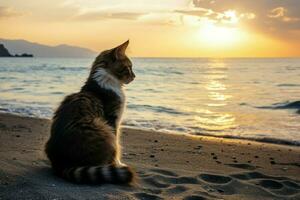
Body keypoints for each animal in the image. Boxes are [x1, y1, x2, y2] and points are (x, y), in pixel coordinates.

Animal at [45, 40, 135, 184]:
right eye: (129, 67)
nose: (134, 76)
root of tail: (61, 165)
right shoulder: (113, 121)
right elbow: (117, 147)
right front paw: (118, 164)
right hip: (102, 127)